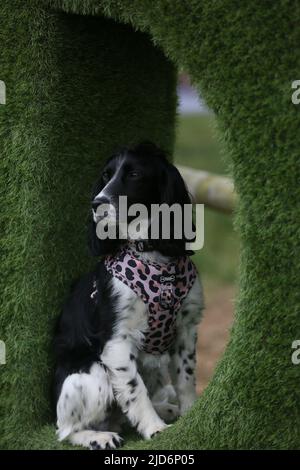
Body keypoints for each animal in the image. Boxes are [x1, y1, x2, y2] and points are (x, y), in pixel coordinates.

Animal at [53, 142, 204, 448]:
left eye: (134, 174)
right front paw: (155, 429)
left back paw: (166, 408)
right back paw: (100, 436)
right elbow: (135, 390)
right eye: (105, 175)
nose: (97, 204)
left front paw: (190, 414)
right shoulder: (117, 341)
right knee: (65, 430)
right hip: (92, 374)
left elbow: (185, 378)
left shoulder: (186, 328)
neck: (153, 256)